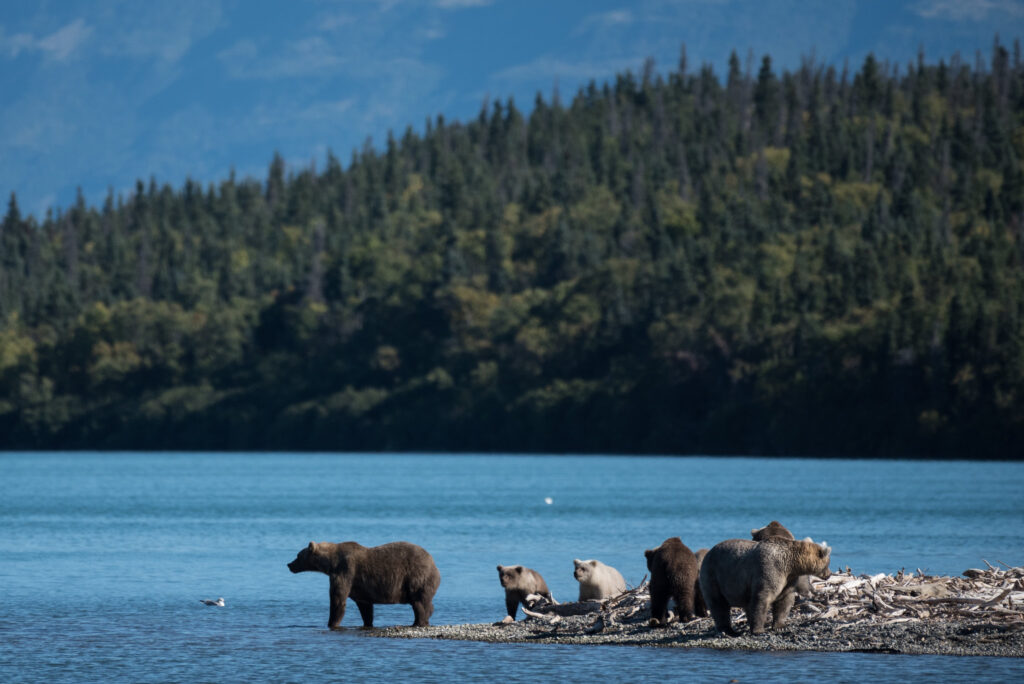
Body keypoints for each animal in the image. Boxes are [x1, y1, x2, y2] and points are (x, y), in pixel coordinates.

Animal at [288, 540, 440, 629]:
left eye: (298, 555)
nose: (289, 564)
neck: (331, 562)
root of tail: (434, 563)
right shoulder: (361, 588)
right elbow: (365, 606)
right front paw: (368, 623)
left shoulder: (345, 571)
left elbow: (338, 599)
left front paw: (332, 623)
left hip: (417, 577)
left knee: (419, 602)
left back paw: (418, 622)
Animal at [700, 537, 831, 637]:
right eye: (828, 563)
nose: (829, 574)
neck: (791, 564)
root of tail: (708, 552)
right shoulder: (770, 569)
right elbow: (762, 598)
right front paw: (759, 630)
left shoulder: (787, 580)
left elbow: (784, 602)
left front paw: (780, 626)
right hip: (714, 576)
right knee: (719, 604)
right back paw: (728, 630)